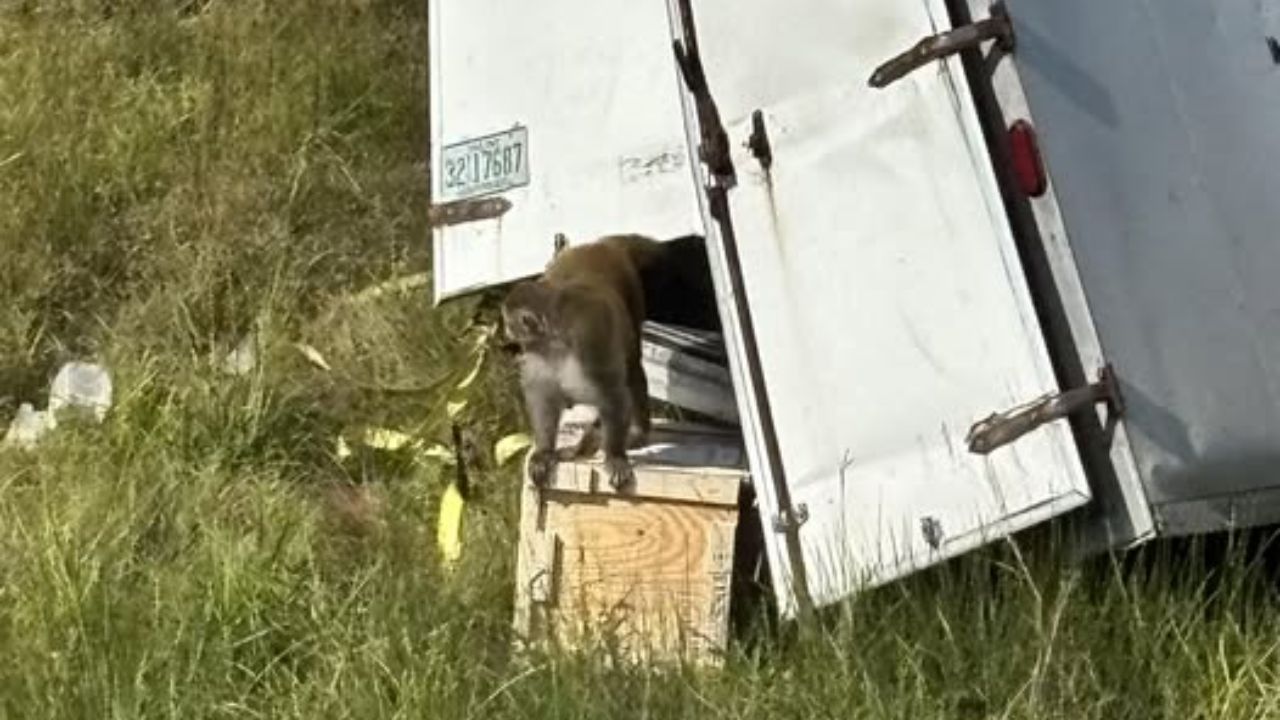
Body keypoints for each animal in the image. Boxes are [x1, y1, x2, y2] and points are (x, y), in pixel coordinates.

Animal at [502, 235, 657, 490]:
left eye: (508, 321)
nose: (506, 330)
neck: (556, 338)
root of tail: (599, 245)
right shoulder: (537, 352)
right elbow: (542, 395)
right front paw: (544, 452)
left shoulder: (589, 337)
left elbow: (612, 394)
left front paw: (614, 456)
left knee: (633, 367)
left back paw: (636, 431)